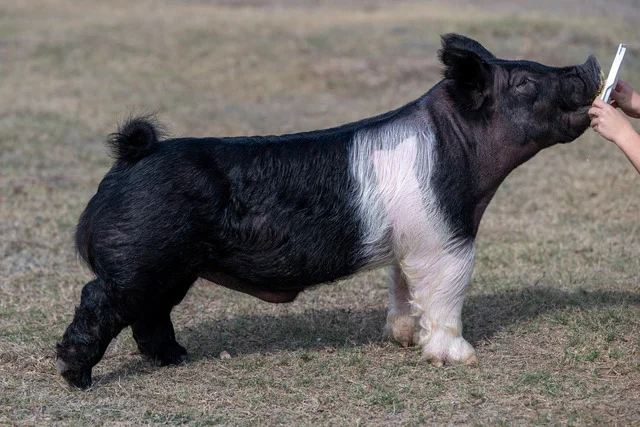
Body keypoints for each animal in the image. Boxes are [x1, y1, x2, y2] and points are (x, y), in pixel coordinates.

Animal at [57, 34, 602, 389]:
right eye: (525, 82)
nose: (588, 65)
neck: (459, 149)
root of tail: (133, 156)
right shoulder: (445, 239)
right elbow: (447, 295)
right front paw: (461, 358)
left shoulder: (410, 244)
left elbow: (404, 288)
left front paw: (402, 338)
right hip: (140, 258)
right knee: (98, 300)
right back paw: (78, 378)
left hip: (171, 268)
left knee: (150, 314)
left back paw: (177, 359)